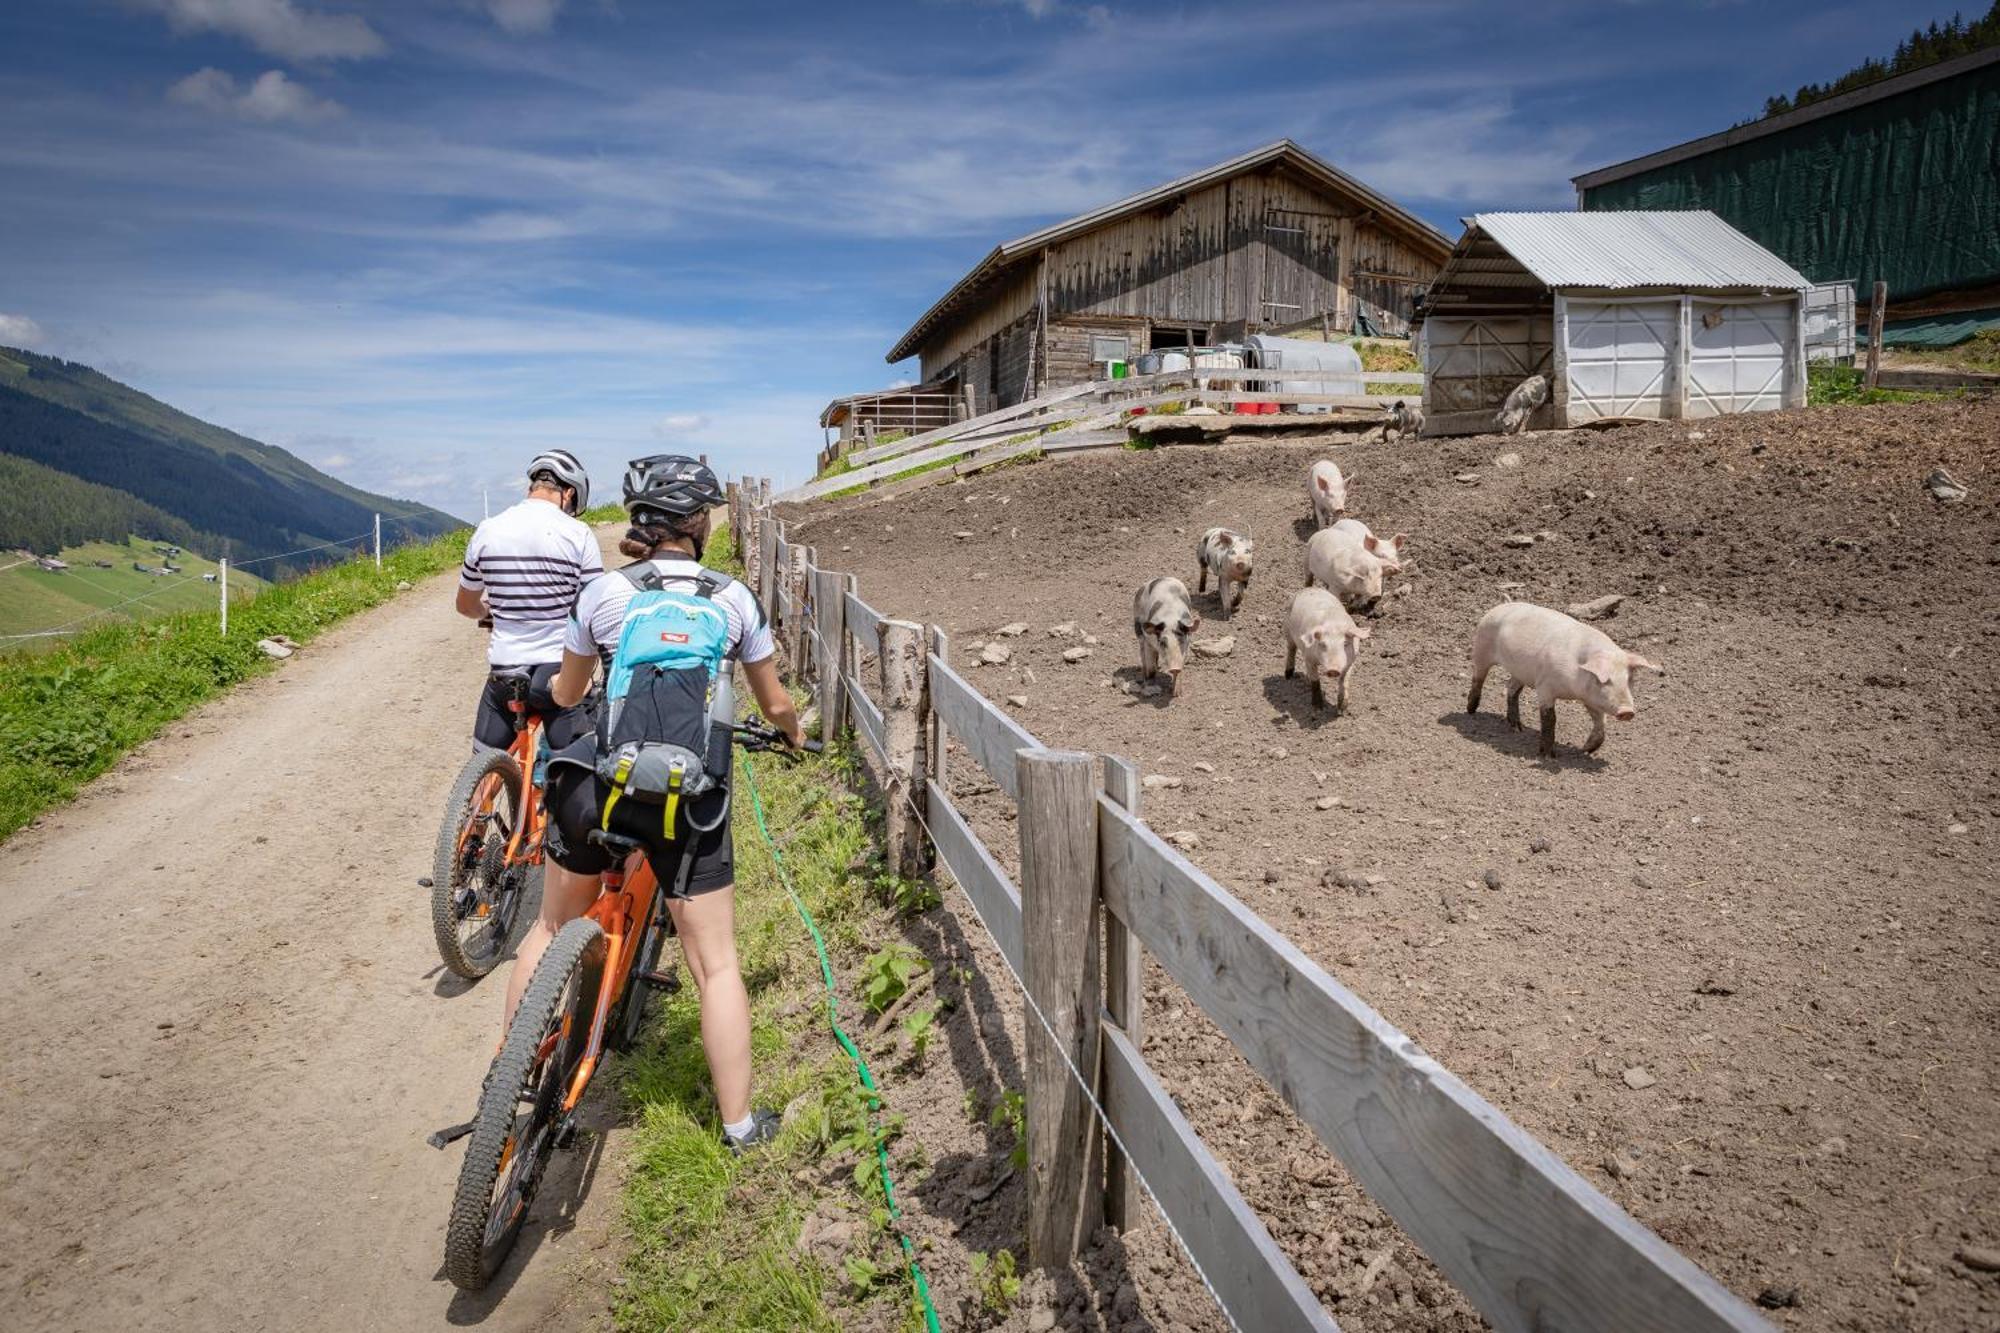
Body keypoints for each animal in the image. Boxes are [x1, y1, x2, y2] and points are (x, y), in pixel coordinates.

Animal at [1288, 588, 1368, 716]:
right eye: (1322, 644)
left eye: (1345, 644)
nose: (1333, 670)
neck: (1333, 624)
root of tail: (1310, 589)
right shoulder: (1308, 658)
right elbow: (1315, 681)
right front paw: (1318, 709)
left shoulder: (1351, 661)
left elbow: (1344, 682)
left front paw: (1341, 711)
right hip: (1287, 628)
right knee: (1291, 649)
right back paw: (1288, 676)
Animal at [1464, 600, 1664, 752]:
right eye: (1604, 680)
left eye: (1629, 680)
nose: (1627, 711)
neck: (1572, 689)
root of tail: (1498, 607)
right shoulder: (1544, 687)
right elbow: (1550, 718)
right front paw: (1547, 755)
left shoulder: (1589, 698)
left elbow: (1600, 721)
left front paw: (1586, 750)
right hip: (1481, 648)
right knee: (1477, 678)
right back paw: (1471, 711)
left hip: (1520, 672)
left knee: (1511, 688)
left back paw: (1518, 729)